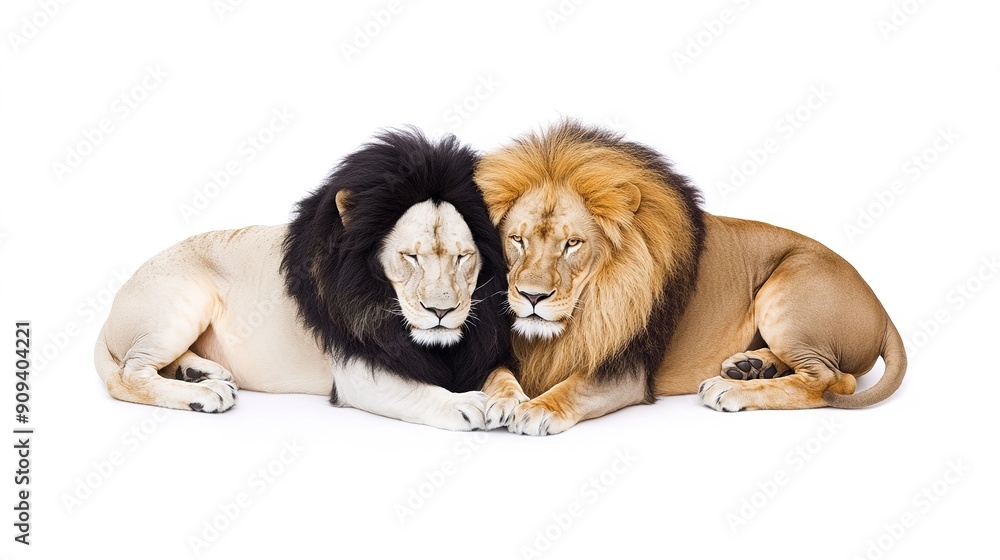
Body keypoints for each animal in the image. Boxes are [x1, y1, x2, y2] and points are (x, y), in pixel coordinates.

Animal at [94, 129, 519, 431]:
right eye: (411, 257)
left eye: (463, 257)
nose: (440, 312)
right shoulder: (358, 374)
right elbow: (418, 392)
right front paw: (462, 403)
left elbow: (503, 374)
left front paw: (509, 401)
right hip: (183, 303)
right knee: (127, 375)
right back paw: (206, 393)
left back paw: (202, 373)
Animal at [474, 120, 907, 435]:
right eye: (517, 239)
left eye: (573, 244)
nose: (532, 297)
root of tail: (883, 309)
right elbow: (497, 373)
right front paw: (502, 399)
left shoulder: (628, 371)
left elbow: (575, 385)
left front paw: (538, 408)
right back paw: (751, 366)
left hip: (787, 290)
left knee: (833, 380)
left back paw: (731, 388)